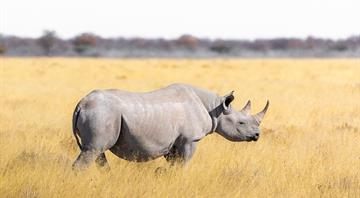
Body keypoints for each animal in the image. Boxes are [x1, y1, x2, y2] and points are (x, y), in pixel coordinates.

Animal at [71, 83, 268, 169]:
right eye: (241, 123)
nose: (257, 135)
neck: (215, 108)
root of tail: (81, 104)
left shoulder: (174, 142)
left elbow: (173, 165)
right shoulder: (190, 139)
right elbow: (183, 164)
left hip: (103, 114)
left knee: (97, 152)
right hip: (102, 113)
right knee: (93, 150)